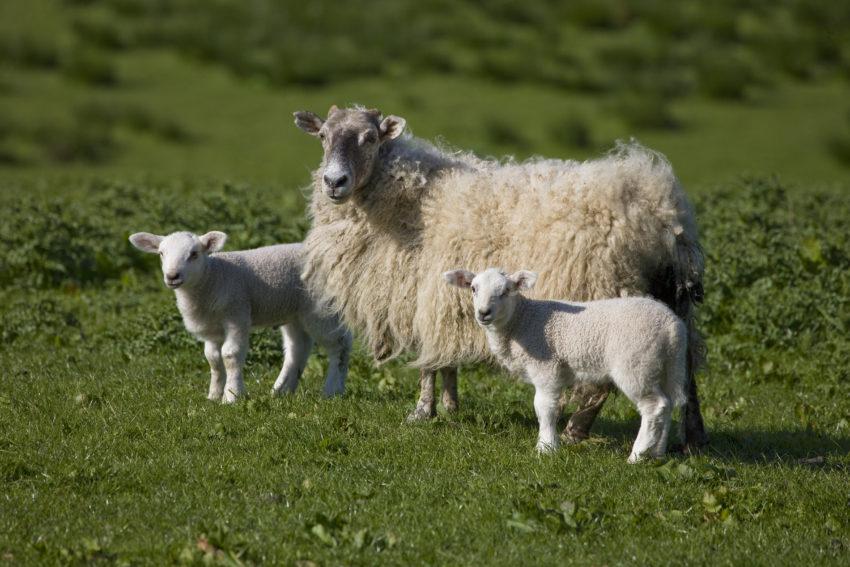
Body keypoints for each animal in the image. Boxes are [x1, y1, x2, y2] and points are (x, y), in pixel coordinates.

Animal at [126, 231, 352, 404]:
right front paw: (213, 395)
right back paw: (281, 390)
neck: (213, 277)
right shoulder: (211, 328)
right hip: (294, 311)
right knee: (298, 348)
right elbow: (213, 359)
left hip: (321, 307)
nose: (172, 276)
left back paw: (332, 390)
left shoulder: (237, 314)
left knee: (340, 346)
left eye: (194, 254)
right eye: (161, 253)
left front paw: (232, 396)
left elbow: (230, 355)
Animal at [440, 268, 684, 464]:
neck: (522, 321)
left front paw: (546, 448)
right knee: (667, 405)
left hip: (635, 363)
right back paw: (657, 453)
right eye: (473, 288)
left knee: (654, 406)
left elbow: (544, 407)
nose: (483, 313)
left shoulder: (546, 368)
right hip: (663, 365)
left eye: (506, 291)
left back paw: (636, 455)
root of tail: (672, 326)